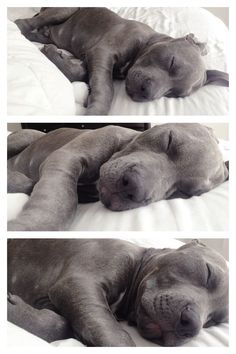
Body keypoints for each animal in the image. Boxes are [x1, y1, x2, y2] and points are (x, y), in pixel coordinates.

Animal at [7, 124, 229, 232]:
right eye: (169, 140)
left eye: (183, 192)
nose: (133, 188)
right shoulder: (65, 158)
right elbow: (60, 199)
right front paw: (32, 226)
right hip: (26, 136)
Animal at [7, 239, 229, 348]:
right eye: (208, 273)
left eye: (212, 322)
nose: (192, 325)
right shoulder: (78, 284)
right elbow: (116, 337)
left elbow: (62, 326)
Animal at [14, 7, 229, 115]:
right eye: (172, 62)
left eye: (173, 94)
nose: (146, 94)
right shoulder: (102, 53)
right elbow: (105, 88)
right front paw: (96, 112)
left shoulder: (93, 58)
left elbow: (82, 72)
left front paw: (56, 57)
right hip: (65, 9)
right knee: (24, 23)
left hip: (51, 31)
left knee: (39, 32)